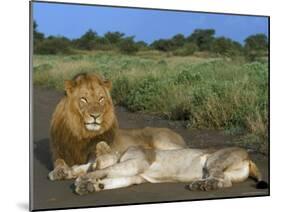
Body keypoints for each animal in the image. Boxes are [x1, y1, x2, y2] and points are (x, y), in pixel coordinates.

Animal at [47, 73, 186, 181]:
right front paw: (61, 171)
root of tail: (177, 134)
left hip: (162, 141)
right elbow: (59, 162)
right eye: (84, 99)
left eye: (101, 99)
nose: (95, 116)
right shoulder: (59, 152)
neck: (81, 133)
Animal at [73, 142, 266, 195]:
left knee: (222, 180)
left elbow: (108, 170)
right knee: (225, 180)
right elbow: (112, 180)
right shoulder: (136, 176)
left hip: (214, 159)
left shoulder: (136, 163)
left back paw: (201, 186)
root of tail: (249, 157)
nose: (88, 170)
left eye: (94, 163)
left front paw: (82, 180)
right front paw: (90, 187)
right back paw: (202, 184)